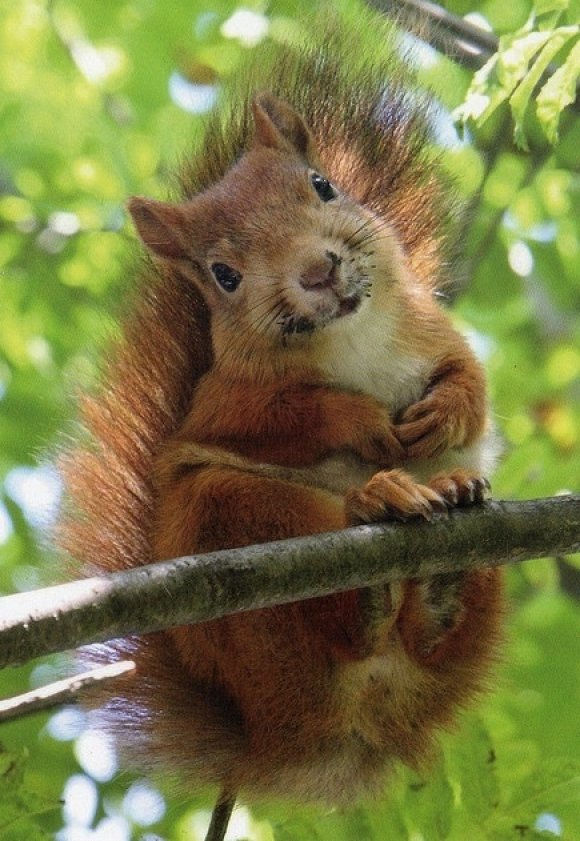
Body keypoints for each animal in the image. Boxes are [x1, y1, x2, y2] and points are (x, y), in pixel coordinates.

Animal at [57, 9, 503, 808]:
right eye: (224, 275)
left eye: (324, 185)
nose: (317, 269)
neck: (350, 338)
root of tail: (302, 742)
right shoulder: (226, 403)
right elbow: (291, 419)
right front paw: (360, 422)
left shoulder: (430, 327)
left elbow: (470, 379)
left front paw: (446, 416)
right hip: (234, 521)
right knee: (336, 616)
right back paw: (376, 527)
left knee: (431, 643)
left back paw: (445, 545)